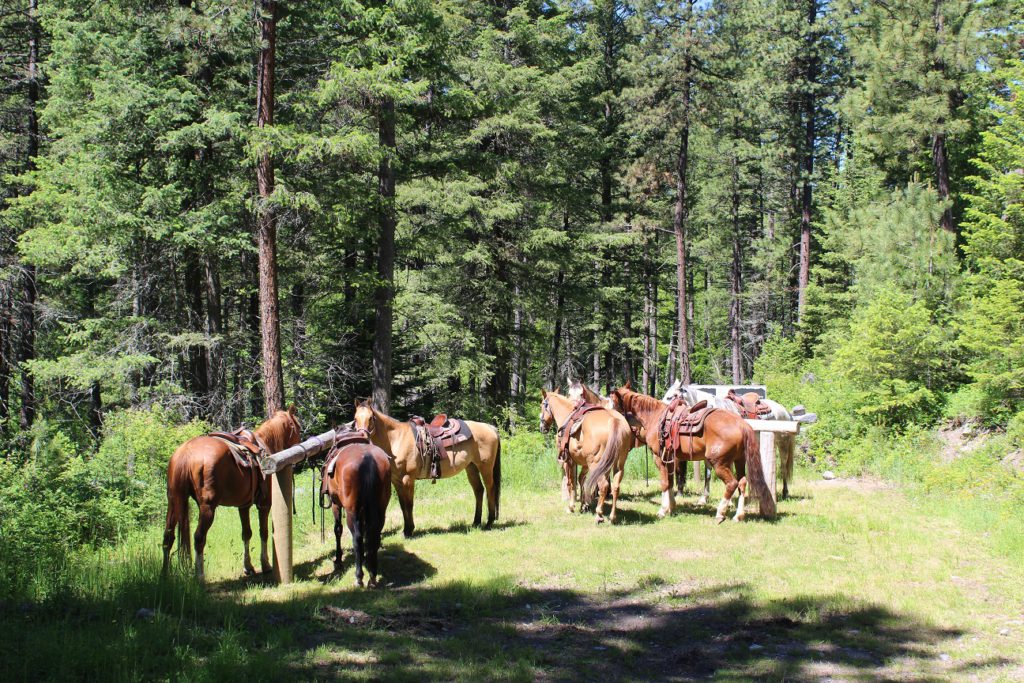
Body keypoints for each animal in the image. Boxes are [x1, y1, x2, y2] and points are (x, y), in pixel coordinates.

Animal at [161, 405, 301, 581]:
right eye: (298, 427)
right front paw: (265, 564)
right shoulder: (264, 504)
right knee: (199, 538)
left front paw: (248, 567)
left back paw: (164, 576)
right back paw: (199, 577)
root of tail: (186, 453)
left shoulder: (243, 506)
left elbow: (246, 533)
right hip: (207, 508)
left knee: (168, 538)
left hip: (173, 501)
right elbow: (264, 532)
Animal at [321, 438, 393, 589]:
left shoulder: (336, 504)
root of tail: (368, 459)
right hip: (381, 509)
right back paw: (372, 575)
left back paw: (359, 577)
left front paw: (338, 560)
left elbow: (338, 530)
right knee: (374, 535)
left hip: (352, 512)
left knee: (357, 538)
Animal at [354, 401, 501, 540]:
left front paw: (409, 530)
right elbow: (402, 505)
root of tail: (490, 428)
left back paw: (489, 522)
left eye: (371, 418)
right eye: (355, 418)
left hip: (485, 467)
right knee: (479, 490)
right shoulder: (396, 481)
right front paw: (407, 529)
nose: (362, 436)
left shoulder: (408, 479)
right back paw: (476, 522)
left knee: (490, 489)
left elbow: (409, 504)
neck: (396, 439)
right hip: (471, 468)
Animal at [536, 389, 630, 524]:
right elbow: (582, 480)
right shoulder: (585, 464)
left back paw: (599, 515)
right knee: (615, 487)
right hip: (617, 465)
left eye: (542, 405)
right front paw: (584, 505)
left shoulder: (569, 460)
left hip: (596, 464)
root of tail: (614, 421)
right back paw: (612, 517)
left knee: (603, 486)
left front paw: (571, 506)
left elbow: (571, 483)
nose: (542, 427)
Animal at [606, 385, 774, 524]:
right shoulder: (671, 459)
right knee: (742, 483)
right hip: (739, 460)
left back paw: (720, 513)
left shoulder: (659, 458)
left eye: (613, 403)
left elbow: (665, 483)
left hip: (720, 463)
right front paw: (671, 507)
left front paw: (662, 510)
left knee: (732, 483)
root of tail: (742, 424)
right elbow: (671, 482)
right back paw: (738, 516)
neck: (654, 416)